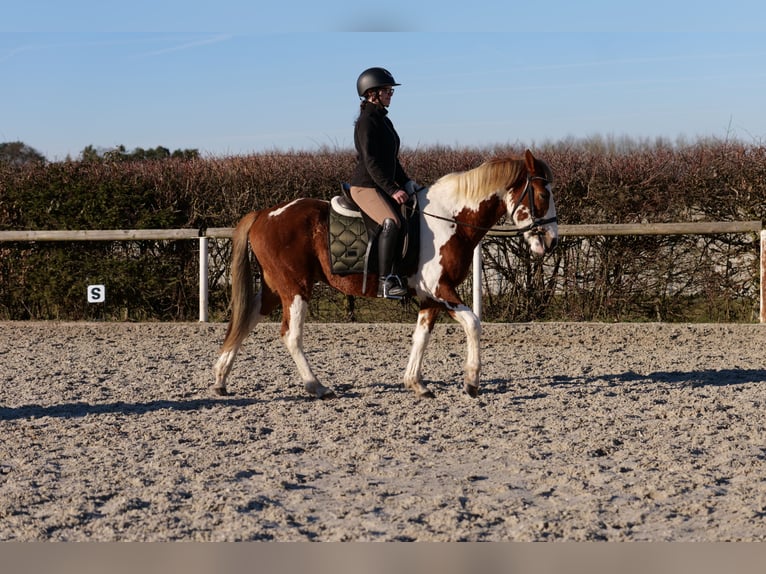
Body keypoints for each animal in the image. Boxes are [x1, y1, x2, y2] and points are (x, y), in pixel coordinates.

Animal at [212, 148, 560, 400]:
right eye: (543, 196)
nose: (550, 242)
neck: (450, 219)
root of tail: (264, 214)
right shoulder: (442, 290)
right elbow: (473, 323)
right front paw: (472, 382)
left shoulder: (430, 297)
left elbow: (421, 336)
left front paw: (415, 383)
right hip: (296, 288)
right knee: (290, 335)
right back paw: (317, 386)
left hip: (275, 288)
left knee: (245, 321)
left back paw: (220, 379)